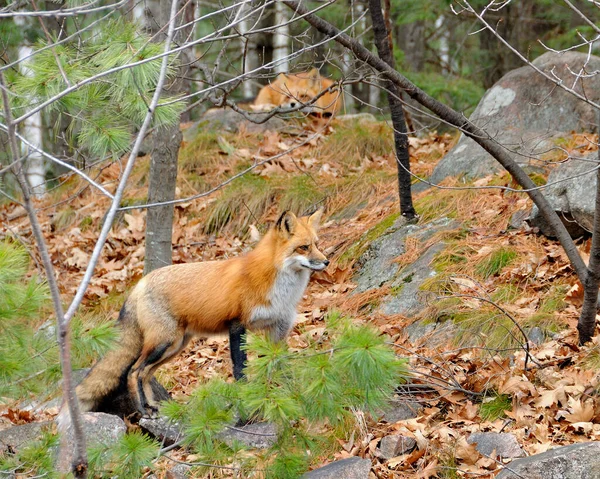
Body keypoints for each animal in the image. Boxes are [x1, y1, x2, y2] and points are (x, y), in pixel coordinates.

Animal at [61, 210, 328, 420]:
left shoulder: (277, 328)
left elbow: (279, 363)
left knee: (145, 374)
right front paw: (245, 396)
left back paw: (155, 406)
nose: (326, 261)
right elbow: (240, 368)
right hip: (163, 342)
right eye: (304, 247)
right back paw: (144, 410)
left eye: (317, 243)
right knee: (133, 371)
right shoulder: (237, 325)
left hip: (175, 346)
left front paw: (287, 391)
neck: (276, 284)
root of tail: (139, 284)